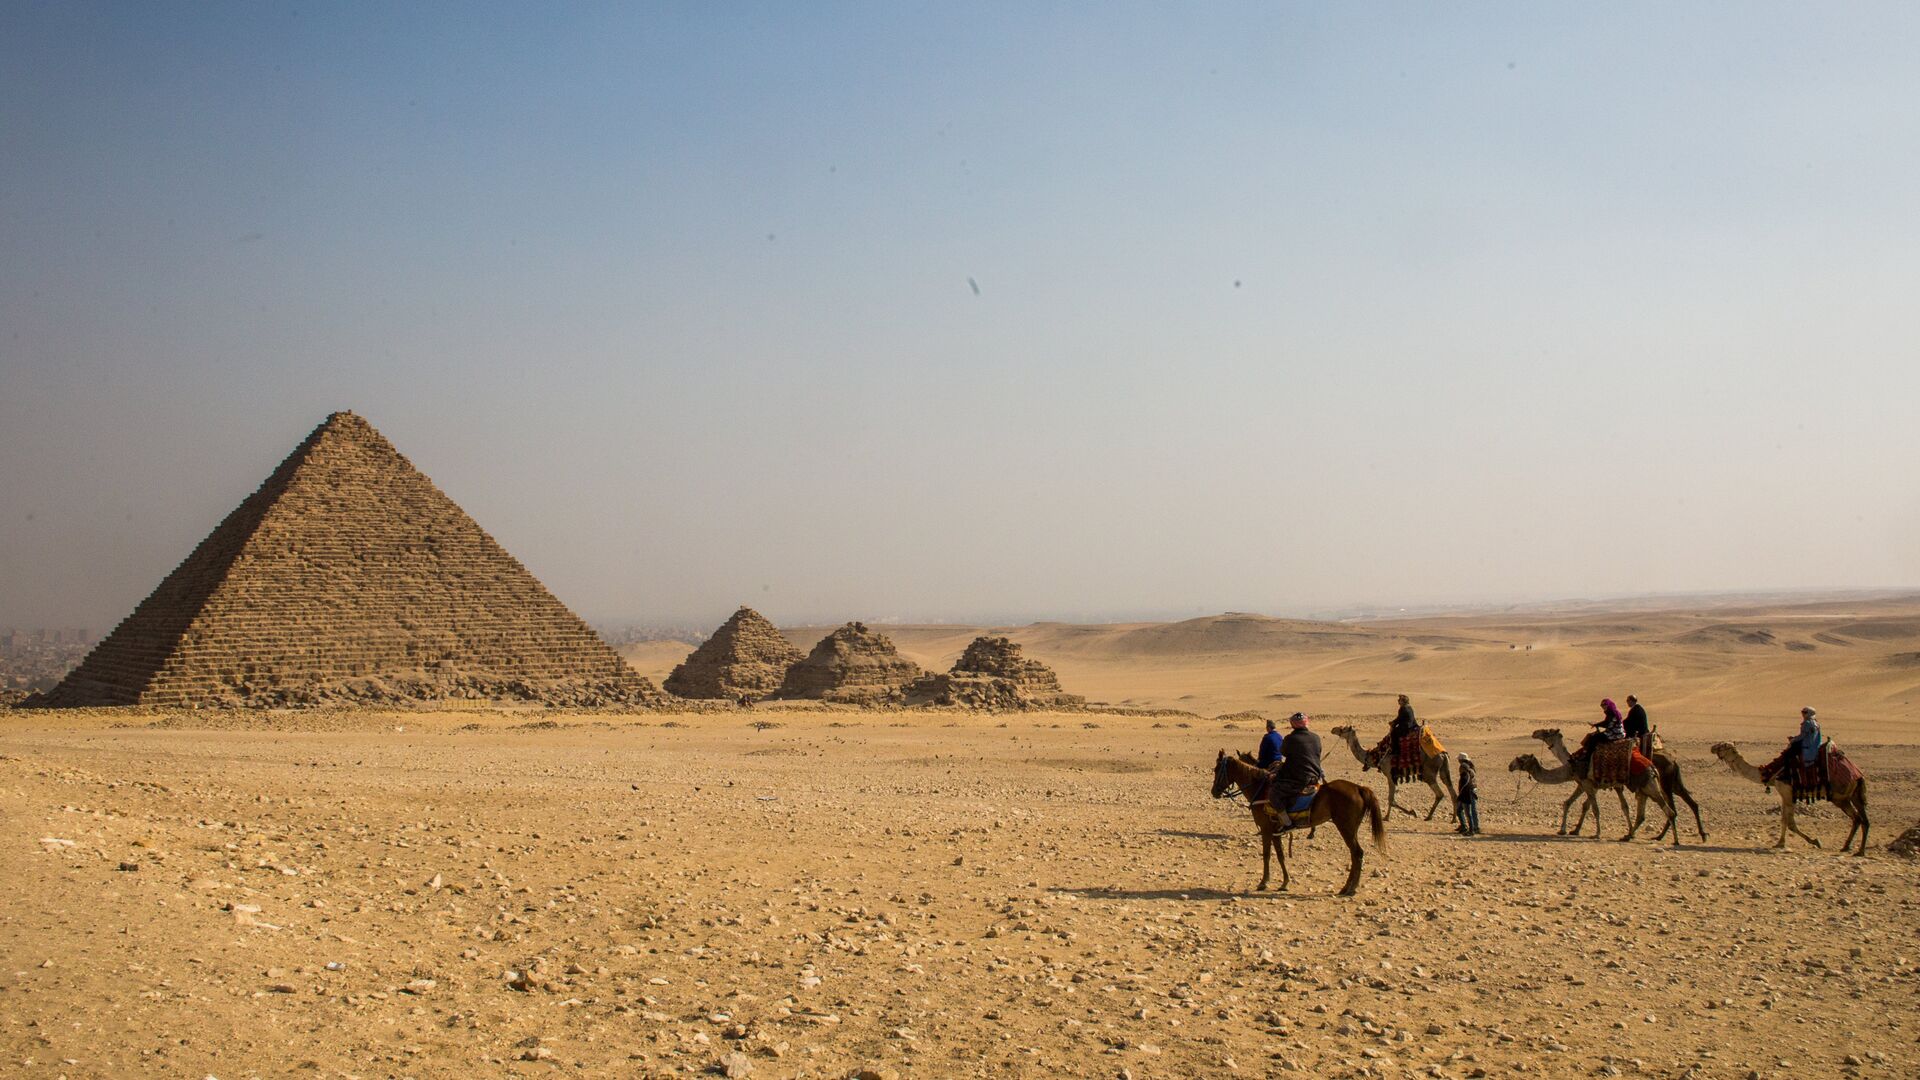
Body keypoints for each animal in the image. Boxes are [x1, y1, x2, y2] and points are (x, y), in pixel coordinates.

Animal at [1213, 749, 1382, 891]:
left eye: (1216, 770)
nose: (1213, 792)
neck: (1259, 790)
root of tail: (1359, 788)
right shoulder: (1275, 831)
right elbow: (1280, 855)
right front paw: (1285, 882)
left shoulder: (1266, 830)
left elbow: (1266, 855)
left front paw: (1263, 882)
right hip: (1351, 828)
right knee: (1356, 854)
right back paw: (1349, 887)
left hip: (1346, 827)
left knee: (1357, 853)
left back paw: (1350, 888)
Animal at [1328, 718, 1459, 818]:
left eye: (1343, 729)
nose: (1333, 729)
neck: (1376, 756)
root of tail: (1442, 753)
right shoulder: (1394, 776)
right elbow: (1392, 798)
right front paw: (1404, 813)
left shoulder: (1389, 774)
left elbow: (1391, 799)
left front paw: (1394, 815)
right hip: (1443, 768)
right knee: (1451, 790)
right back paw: (1453, 819)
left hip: (1429, 770)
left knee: (1440, 793)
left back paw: (1429, 816)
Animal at [1497, 749, 1681, 841]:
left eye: (1522, 759)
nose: (1510, 766)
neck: (1570, 768)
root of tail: (1653, 768)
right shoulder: (1583, 784)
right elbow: (1571, 803)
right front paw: (1565, 830)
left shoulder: (1587, 783)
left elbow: (1595, 809)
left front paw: (1596, 833)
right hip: (1643, 788)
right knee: (1642, 814)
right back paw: (1629, 835)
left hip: (1649, 785)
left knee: (1669, 810)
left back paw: (1672, 839)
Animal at [1704, 737, 1866, 849]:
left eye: (1722, 745)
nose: (1712, 747)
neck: (1769, 772)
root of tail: (1858, 775)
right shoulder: (1783, 794)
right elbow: (1783, 820)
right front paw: (1780, 843)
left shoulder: (1788, 793)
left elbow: (1791, 823)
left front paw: (1815, 841)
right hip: (1849, 796)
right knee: (1858, 818)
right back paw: (1848, 847)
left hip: (1839, 797)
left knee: (1856, 818)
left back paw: (1848, 847)